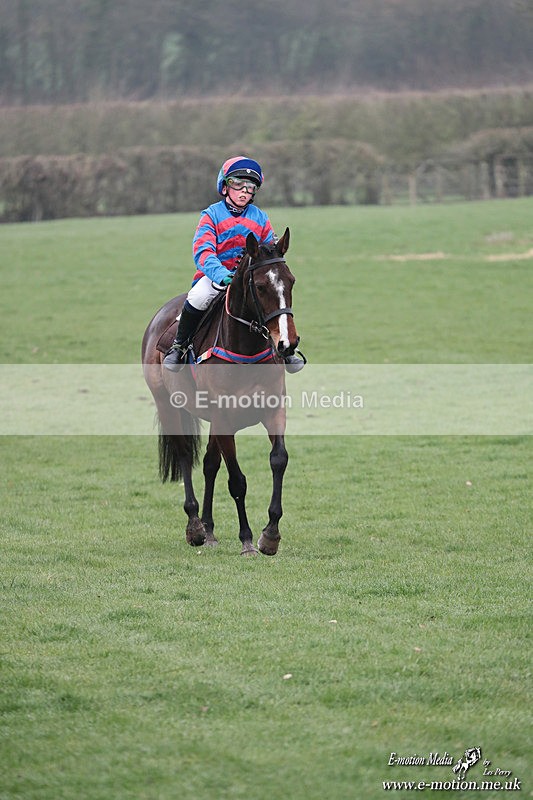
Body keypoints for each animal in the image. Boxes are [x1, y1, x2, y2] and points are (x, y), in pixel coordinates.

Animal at [141, 228, 301, 556]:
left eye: (291, 281)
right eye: (261, 286)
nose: (287, 343)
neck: (245, 350)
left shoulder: (273, 410)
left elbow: (278, 459)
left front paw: (271, 535)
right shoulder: (225, 419)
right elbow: (237, 481)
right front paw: (248, 539)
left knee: (209, 464)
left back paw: (209, 529)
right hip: (168, 405)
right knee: (185, 456)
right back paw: (194, 527)